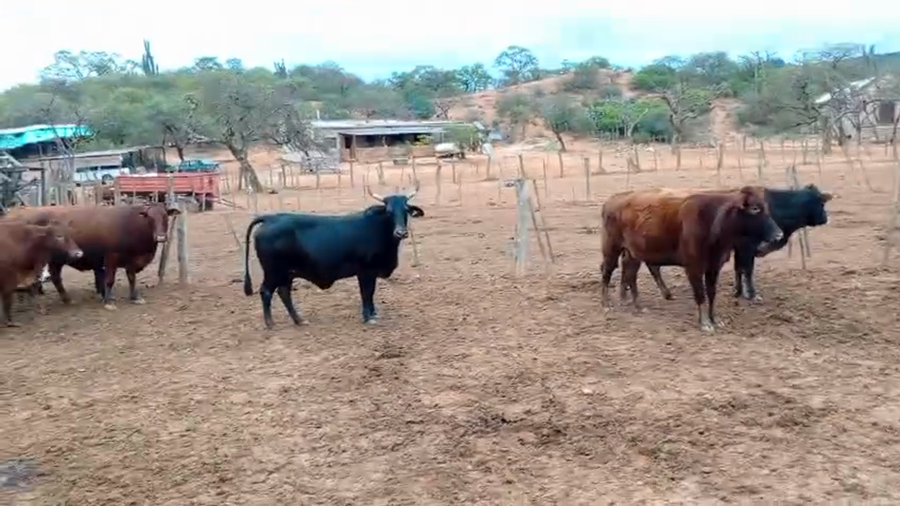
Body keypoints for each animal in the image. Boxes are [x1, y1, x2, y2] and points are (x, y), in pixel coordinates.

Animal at [5, 203, 181, 309]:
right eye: (150, 217)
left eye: (165, 216)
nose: (160, 237)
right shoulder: (111, 257)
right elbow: (109, 280)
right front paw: (108, 301)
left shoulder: (131, 260)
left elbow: (131, 278)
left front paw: (135, 297)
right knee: (54, 277)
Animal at [243, 184, 424, 329]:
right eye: (389, 212)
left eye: (406, 210)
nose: (401, 232)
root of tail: (270, 218)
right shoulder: (365, 271)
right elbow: (366, 293)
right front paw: (368, 317)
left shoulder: (371, 272)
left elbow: (370, 293)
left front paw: (373, 313)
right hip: (273, 272)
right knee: (266, 292)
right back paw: (270, 323)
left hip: (287, 273)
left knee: (284, 292)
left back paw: (299, 320)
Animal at [600, 186, 783, 332]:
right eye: (754, 209)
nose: (779, 235)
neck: (712, 220)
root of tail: (612, 200)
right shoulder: (693, 268)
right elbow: (700, 294)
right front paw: (705, 323)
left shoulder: (713, 267)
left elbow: (711, 293)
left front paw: (715, 319)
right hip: (611, 248)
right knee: (607, 271)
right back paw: (606, 304)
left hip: (633, 253)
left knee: (630, 275)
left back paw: (637, 306)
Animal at [623, 184, 833, 303]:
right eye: (822, 203)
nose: (825, 218)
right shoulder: (747, 247)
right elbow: (747, 270)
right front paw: (751, 294)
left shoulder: (739, 249)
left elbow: (739, 269)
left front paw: (738, 291)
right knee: (649, 267)